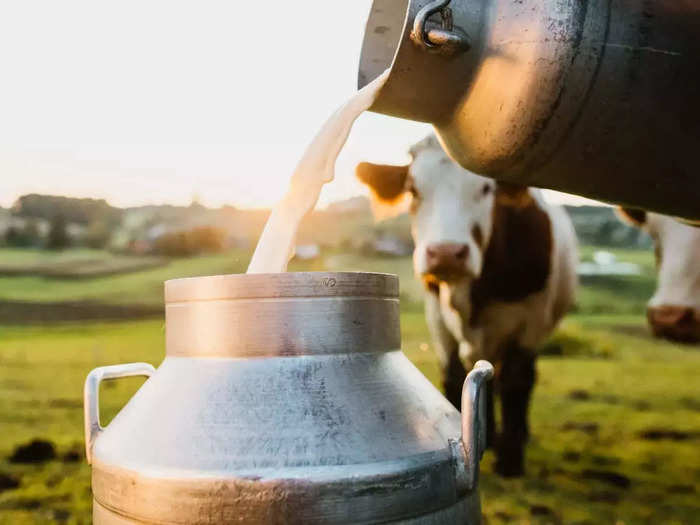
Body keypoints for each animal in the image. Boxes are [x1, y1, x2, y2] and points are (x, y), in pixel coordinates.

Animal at [358, 134, 576, 474]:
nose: (446, 253)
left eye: (486, 189)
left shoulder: (532, 320)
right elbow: (453, 376)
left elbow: (516, 380)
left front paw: (511, 459)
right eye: (413, 189)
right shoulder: (436, 317)